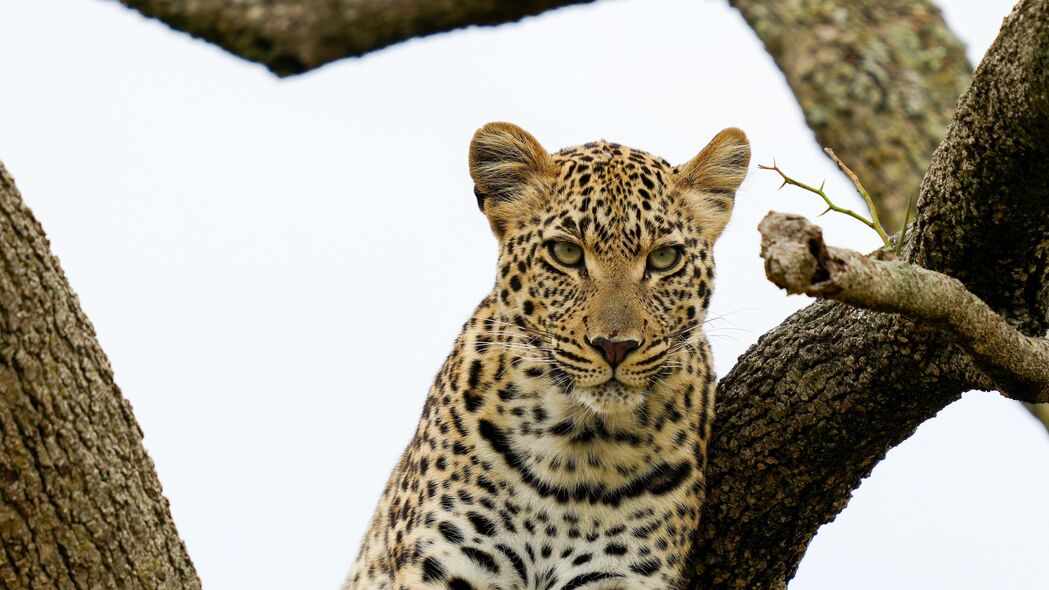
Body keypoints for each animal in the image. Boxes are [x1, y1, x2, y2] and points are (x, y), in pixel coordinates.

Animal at [348, 121, 751, 583]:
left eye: (665, 258)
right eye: (567, 252)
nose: (615, 346)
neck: (578, 446)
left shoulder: (620, 573)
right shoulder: (448, 559)